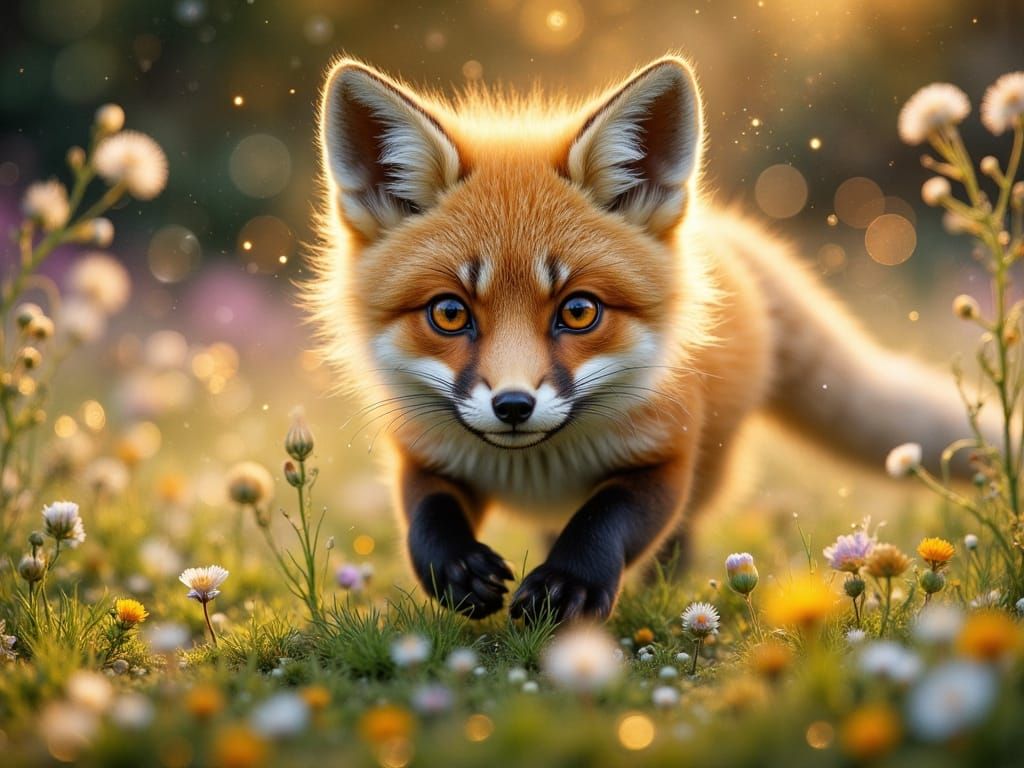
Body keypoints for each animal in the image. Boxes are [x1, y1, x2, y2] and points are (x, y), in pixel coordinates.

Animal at [306, 54, 978, 623]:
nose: (513, 406)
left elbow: (605, 521)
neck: (537, 472)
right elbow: (426, 519)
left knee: (677, 542)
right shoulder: (422, 453)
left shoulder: (668, 454)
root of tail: (726, 235)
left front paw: (570, 584)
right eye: (449, 314)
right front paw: (456, 570)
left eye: (579, 311)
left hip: (714, 465)